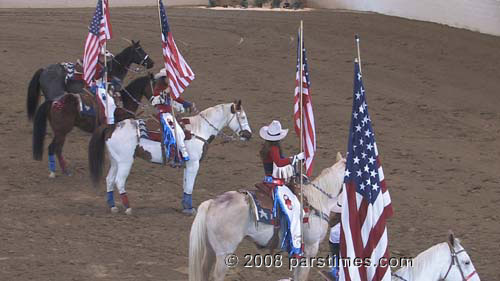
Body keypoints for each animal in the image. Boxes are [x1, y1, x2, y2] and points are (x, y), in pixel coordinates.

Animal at [88, 100, 252, 214]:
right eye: (243, 117)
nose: (249, 135)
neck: (199, 130)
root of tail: (112, 126)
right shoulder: (194, 164)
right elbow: (190, 185)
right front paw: (190, 209)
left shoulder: (188, 165)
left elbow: (186, 185)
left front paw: (185, 207)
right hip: (125, 162)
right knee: (119, 181)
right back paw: (128, 208)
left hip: (115, 161)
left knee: (109, 180)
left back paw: (113, 206)